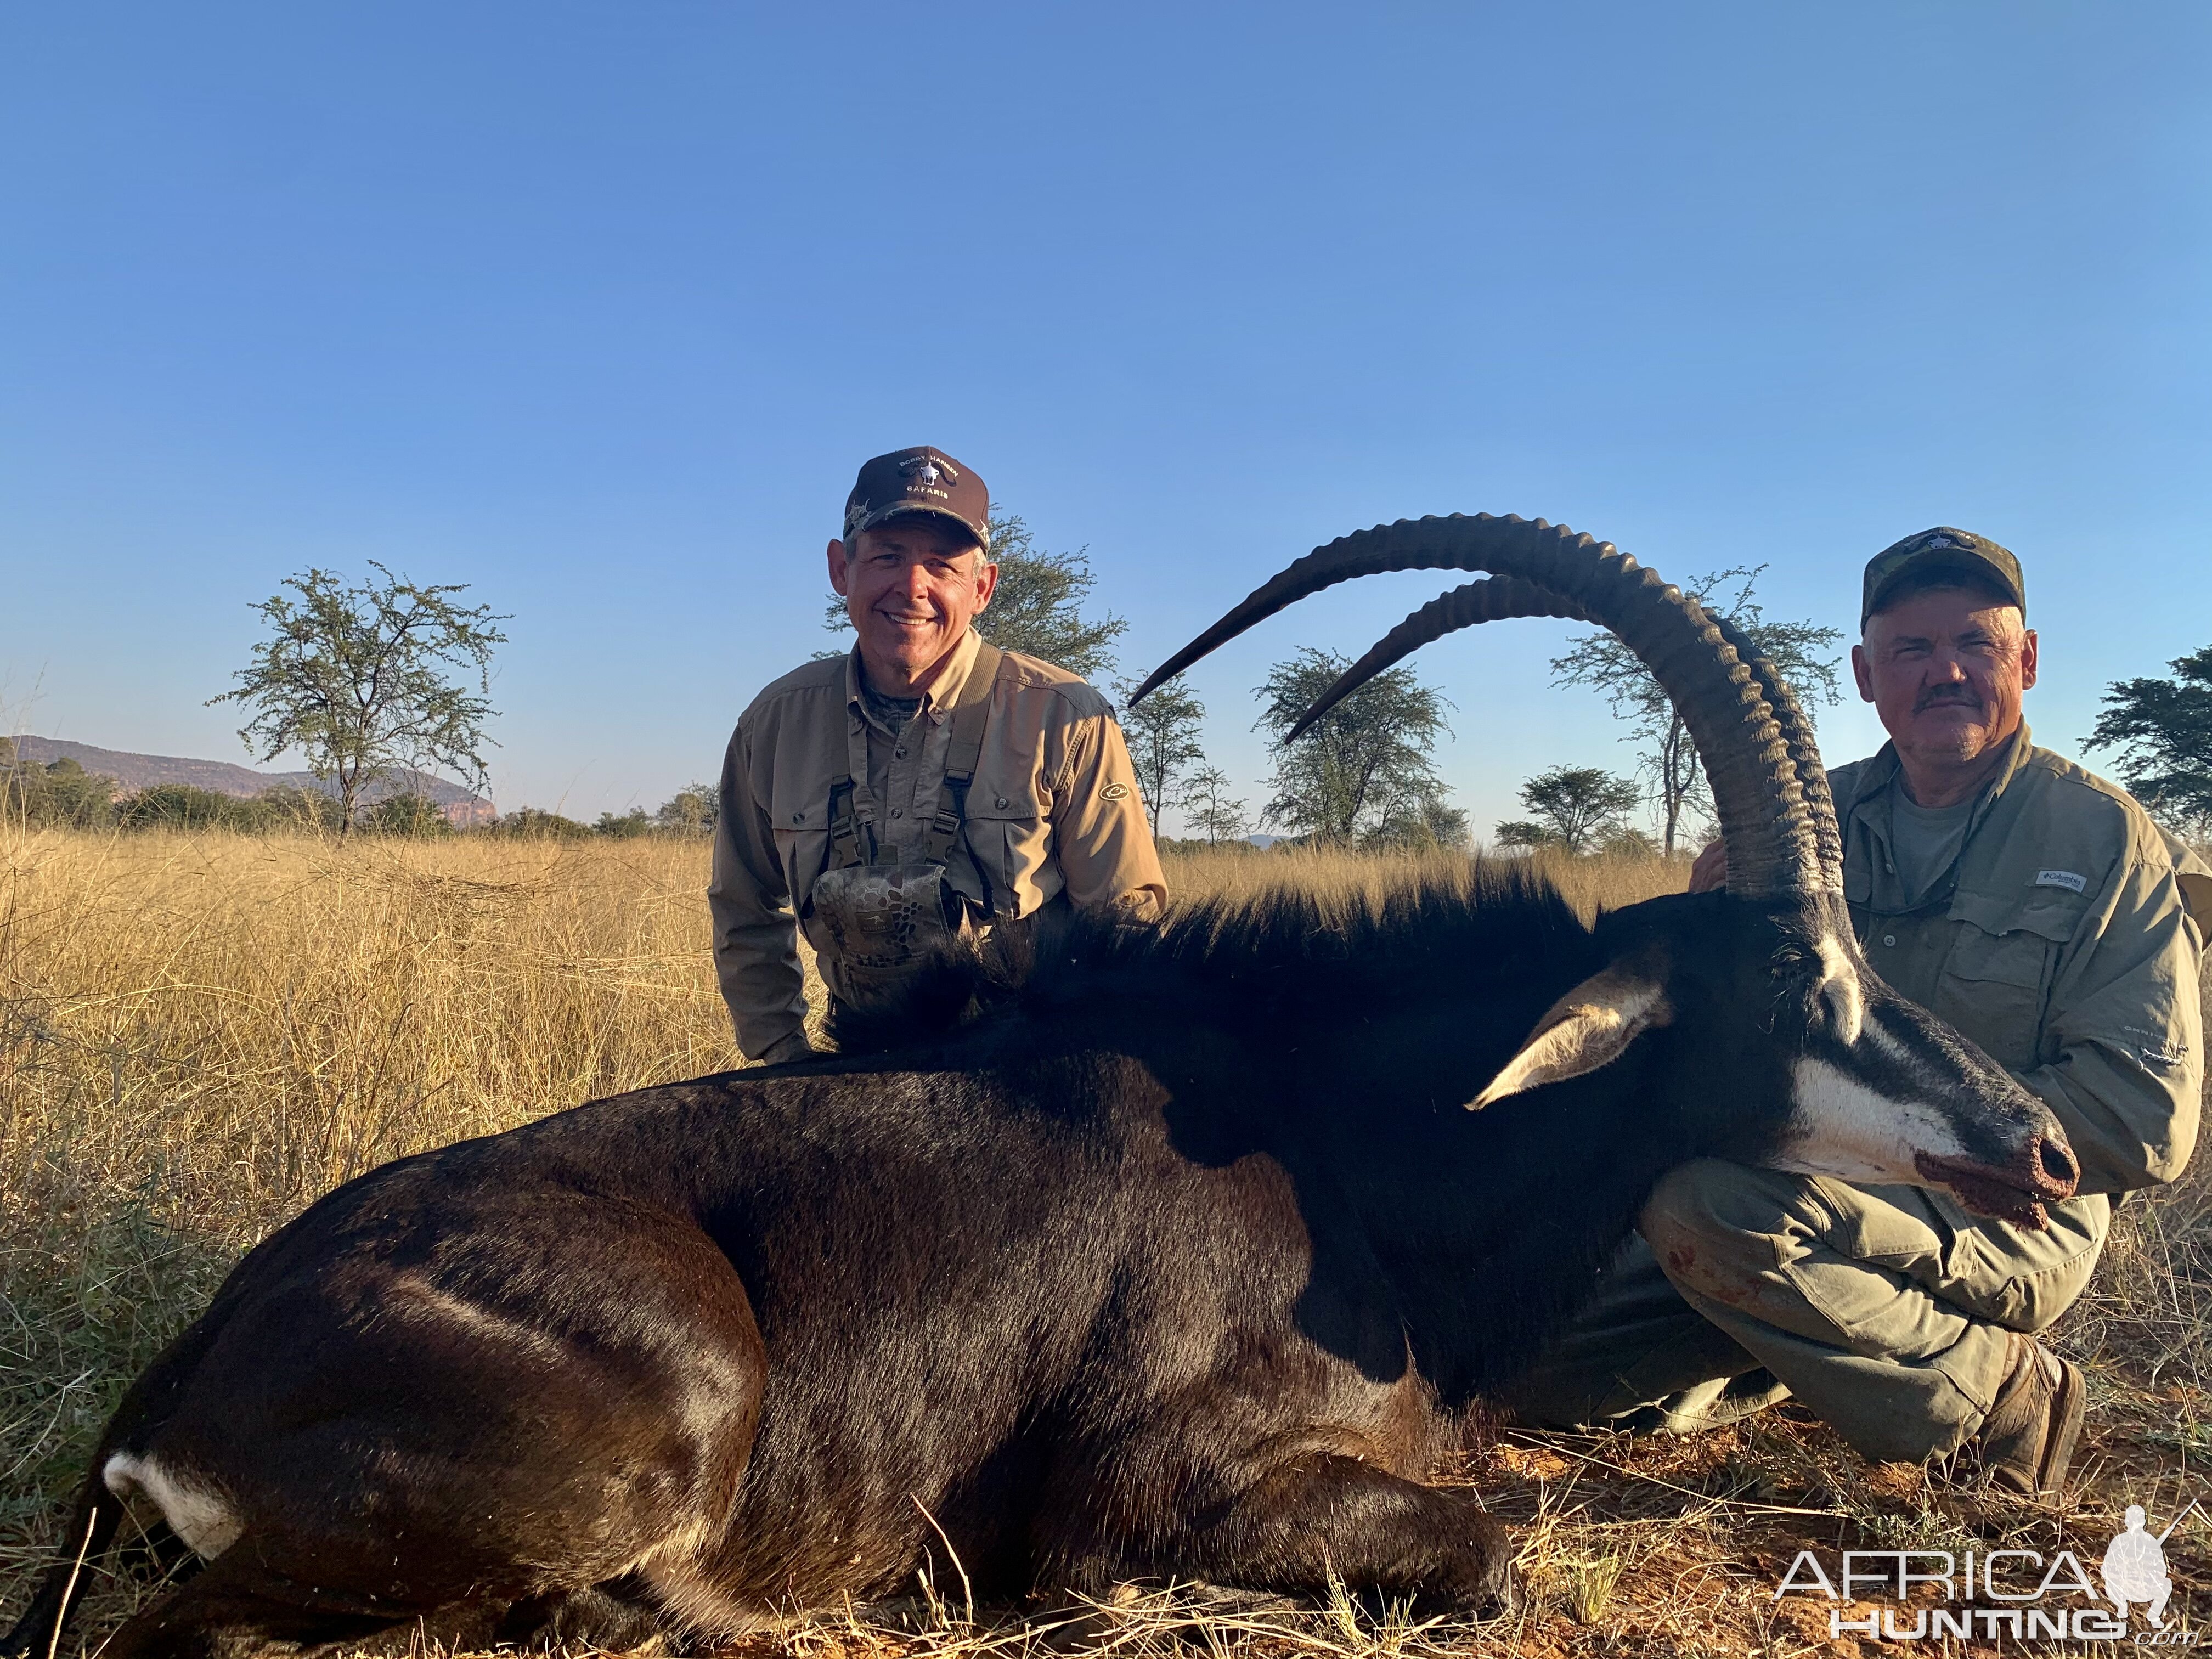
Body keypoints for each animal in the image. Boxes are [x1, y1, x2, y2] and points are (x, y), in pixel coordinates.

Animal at [4, 520, 2070, 1659]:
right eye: (1801, 974)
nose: (2041, 1145)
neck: (1341, 1145)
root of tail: (176, 1376)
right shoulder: (1138, 1497)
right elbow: (1489, 1550)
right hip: (685, 1399)